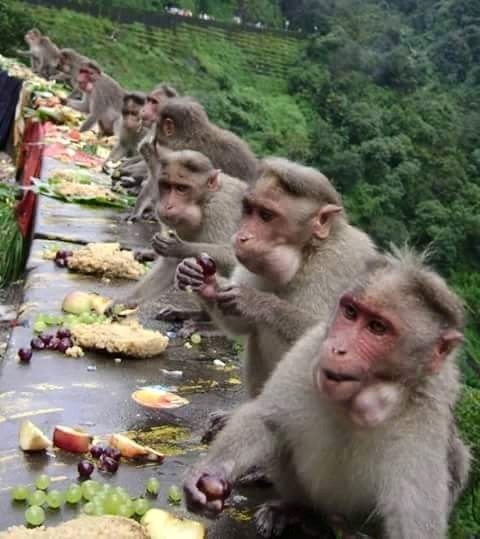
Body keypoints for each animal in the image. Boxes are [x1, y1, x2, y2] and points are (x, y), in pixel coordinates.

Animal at [114, 146, 246, 314]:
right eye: (166, 185)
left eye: (182, 188)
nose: (168, 205)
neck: (203, 201)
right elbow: (170, 265)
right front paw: (124, 302)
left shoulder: (221, 207)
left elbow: (233, 257)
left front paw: (179, 247)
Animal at [175, 157, 376, 442]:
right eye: (250, 210)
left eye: (267, 216)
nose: (241, 236)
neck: (305, 253)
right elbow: (243, 325)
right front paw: (206, 283)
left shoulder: (339, 264)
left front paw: (257, 302)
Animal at [185, 250, 472, 539]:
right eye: (351, 312)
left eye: (378, 327)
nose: (338, 348)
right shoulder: (312, 346)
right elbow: (268, 420)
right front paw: (210, 473)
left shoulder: (426, 408)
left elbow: (413, 517)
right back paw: (297, 509)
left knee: (457, 457)